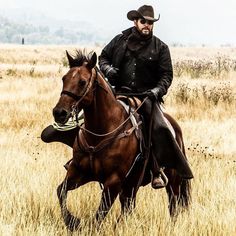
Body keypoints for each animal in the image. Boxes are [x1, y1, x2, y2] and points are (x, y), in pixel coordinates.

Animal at [52, 50, 191, 230]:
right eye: (64, 78)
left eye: (82, 82)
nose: (59, 113)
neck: (100, 133)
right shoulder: (78, 172)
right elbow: (61, 192)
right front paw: (73, 222)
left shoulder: (114, 181)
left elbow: (100, 214)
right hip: (131, 185)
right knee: (129, 208)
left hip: (172, 179)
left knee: (173, 204)